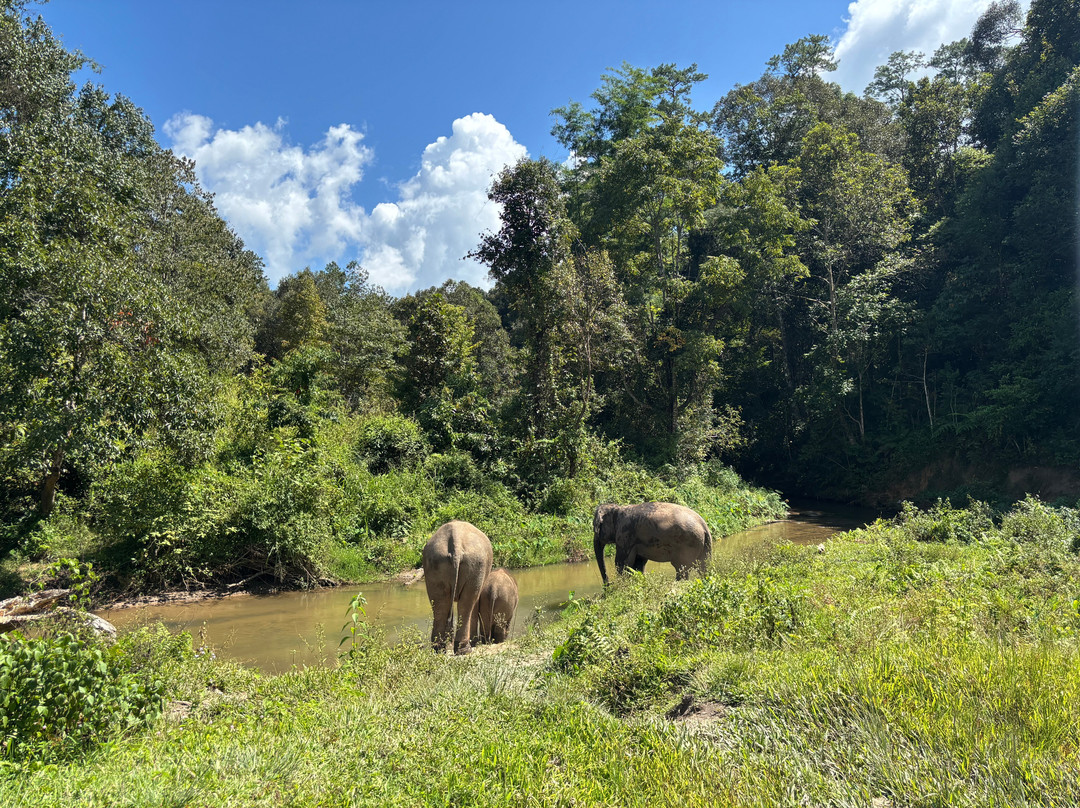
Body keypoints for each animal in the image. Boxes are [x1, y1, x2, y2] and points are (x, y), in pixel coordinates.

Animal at [422, 520, 493, 655]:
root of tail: (456, 541)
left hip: (435, 563)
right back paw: (465, 650)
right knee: (467, 604)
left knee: (440, 604)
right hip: (475, 565)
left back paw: (439, 649)